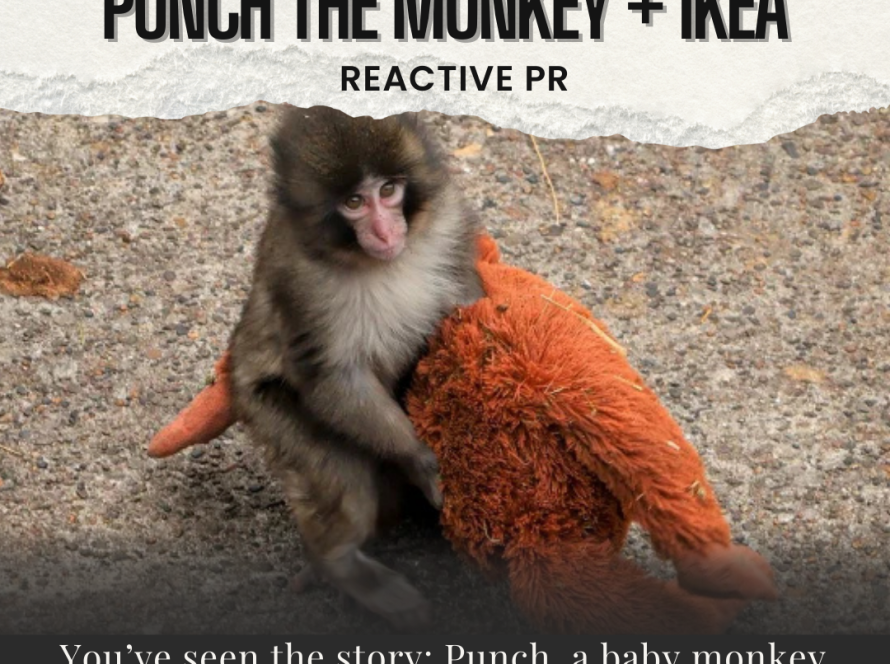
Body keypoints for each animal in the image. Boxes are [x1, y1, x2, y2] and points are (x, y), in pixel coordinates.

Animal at [229, 106, 484, 630]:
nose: (385, 232)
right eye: (353, 202)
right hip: (267, 411)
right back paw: (341, 566)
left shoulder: (448, 224)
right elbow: (331, 377)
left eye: (388, 191)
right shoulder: (300, 280)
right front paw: (421, 459)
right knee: (346, 485)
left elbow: (466, 304)